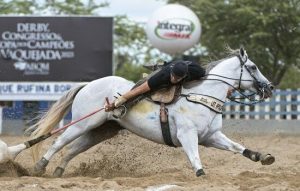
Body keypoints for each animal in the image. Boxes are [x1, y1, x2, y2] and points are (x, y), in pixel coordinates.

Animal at [28, 48, 274, 178]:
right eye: (253, 67)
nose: (270, 87)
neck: (202, 96)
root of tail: (87, 85)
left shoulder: (211, 136)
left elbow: (237, 147)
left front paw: (262, 157)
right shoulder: (187, 136)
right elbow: (195, 157)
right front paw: (201, 175)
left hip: (100, 131)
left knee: (71, 149)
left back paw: (58, 171)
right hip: (82, 124)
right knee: (58, 142)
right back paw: (39, 167)